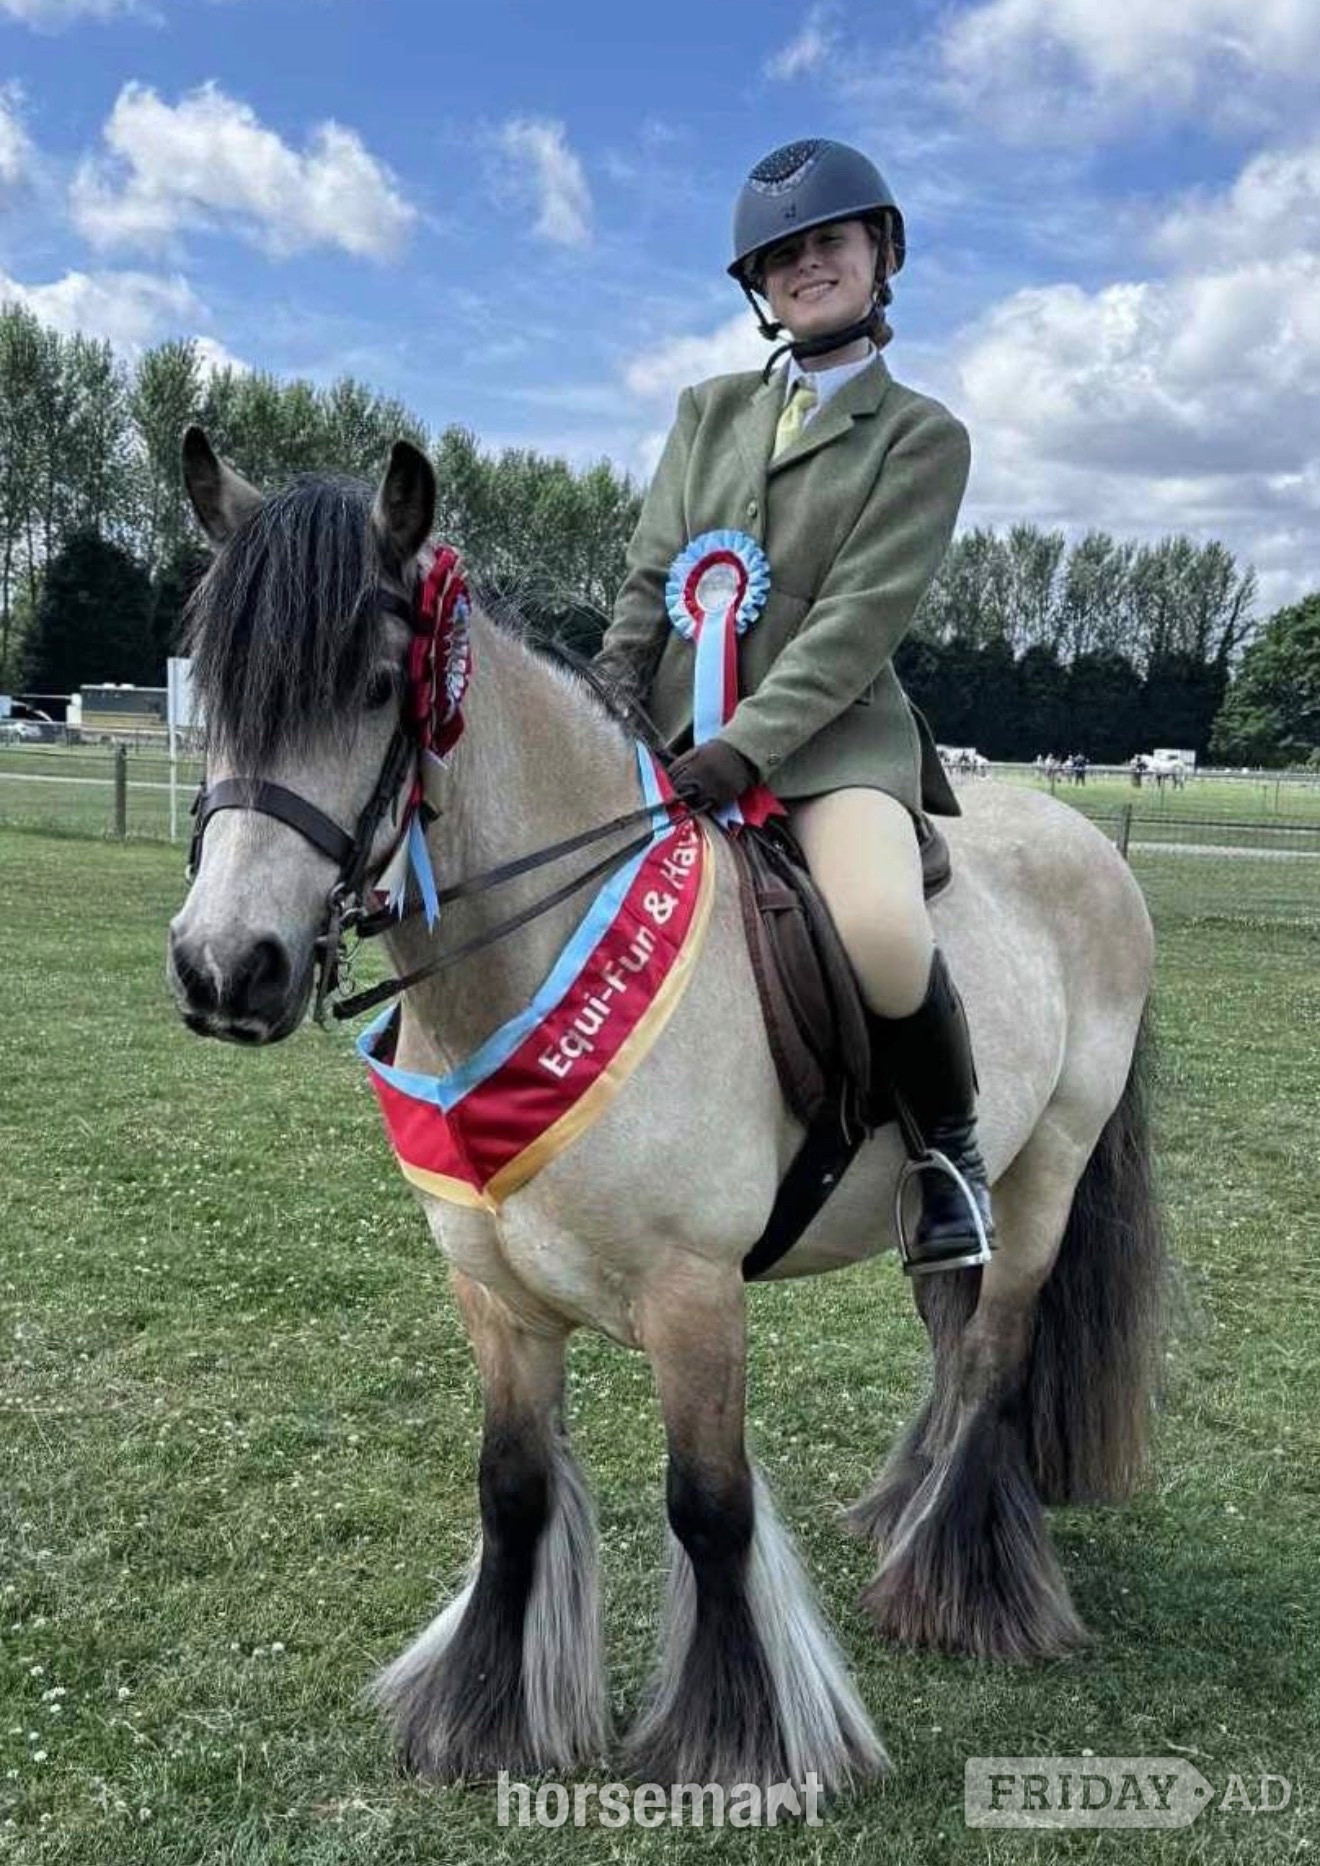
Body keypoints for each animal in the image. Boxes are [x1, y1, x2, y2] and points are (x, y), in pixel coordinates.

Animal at [167, 431, 1167, 1797]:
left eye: (378, 685)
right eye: (212, 682)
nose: (227, 969)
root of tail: (1090, 843)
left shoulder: (696, 1296)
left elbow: (711, 1505)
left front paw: (737, 1741)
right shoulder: (492, 1293)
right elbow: (512, 1488)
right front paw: (482, 1716)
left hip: (1046, 1176)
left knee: (994, 1361)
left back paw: (957, 1586)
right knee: (954, 1342)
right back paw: (905, 1518)